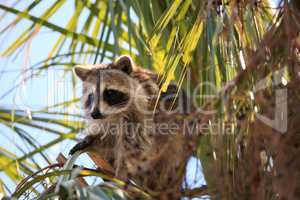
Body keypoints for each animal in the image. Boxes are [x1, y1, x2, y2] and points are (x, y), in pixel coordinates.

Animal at [71, 55, 196, 198]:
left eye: (109, 92)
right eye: (91, 96)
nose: (94, 114)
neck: (116, 113)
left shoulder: (146, 111)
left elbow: (138, 145)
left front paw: (121, 174)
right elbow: (108, 138)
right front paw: (91, 140)